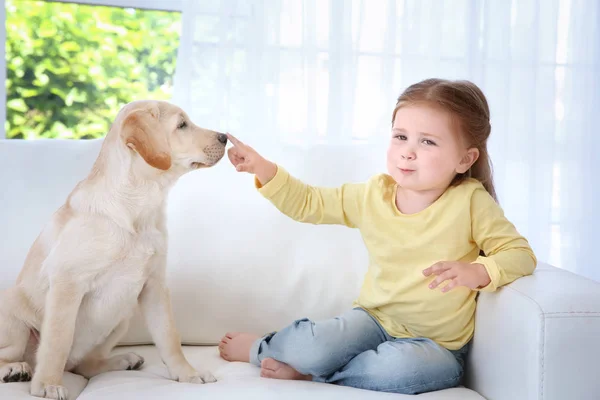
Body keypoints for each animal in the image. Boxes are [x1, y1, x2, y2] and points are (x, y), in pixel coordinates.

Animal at [0, 100, 227, 400]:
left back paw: (123, 360)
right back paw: (16, 369)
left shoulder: (154, 286)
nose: (225, 137)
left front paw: (187, 373)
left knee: (83, 364)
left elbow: (169, 337)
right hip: (13, 313)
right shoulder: (67, 283)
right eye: (181, 125)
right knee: (20, 355)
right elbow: (57, 341)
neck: (137, 206)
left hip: (122, 317)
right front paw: (47, 384)